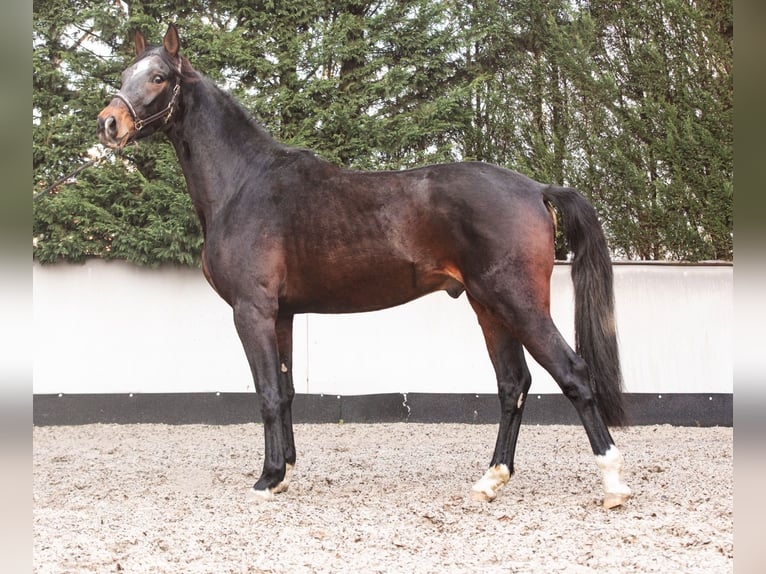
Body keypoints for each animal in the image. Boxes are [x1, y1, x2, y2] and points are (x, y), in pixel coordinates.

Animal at [99, 23, 632, 508]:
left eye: (159, 77)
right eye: (125, 73)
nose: (109, 124)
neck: (245, 183)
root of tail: (536, 188)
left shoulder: (252, 310)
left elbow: (267, 392)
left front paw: (268, 478)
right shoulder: (282, 314)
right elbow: (286, 391)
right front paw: (286, 470)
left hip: (518, 303)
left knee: (572, 374)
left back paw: (613, 484)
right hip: (489, 307)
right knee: (513, 385)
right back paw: (491, 480)